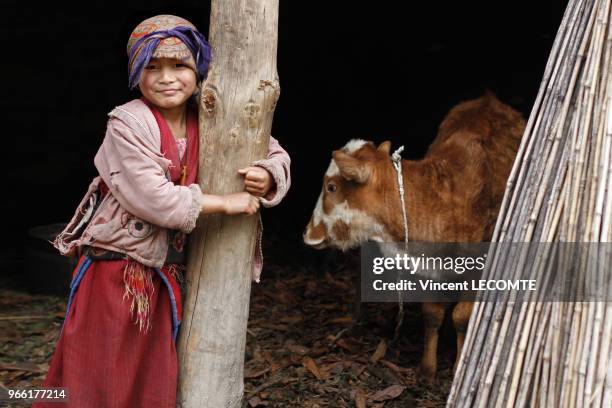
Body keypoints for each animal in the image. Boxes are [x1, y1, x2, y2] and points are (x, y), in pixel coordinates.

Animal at [304, 92, 524, 380]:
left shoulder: (479, 265)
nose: (309, 232)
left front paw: (457, 366)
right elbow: (432, 314)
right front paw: (427, 369)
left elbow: (462, 317)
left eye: (331, 187)